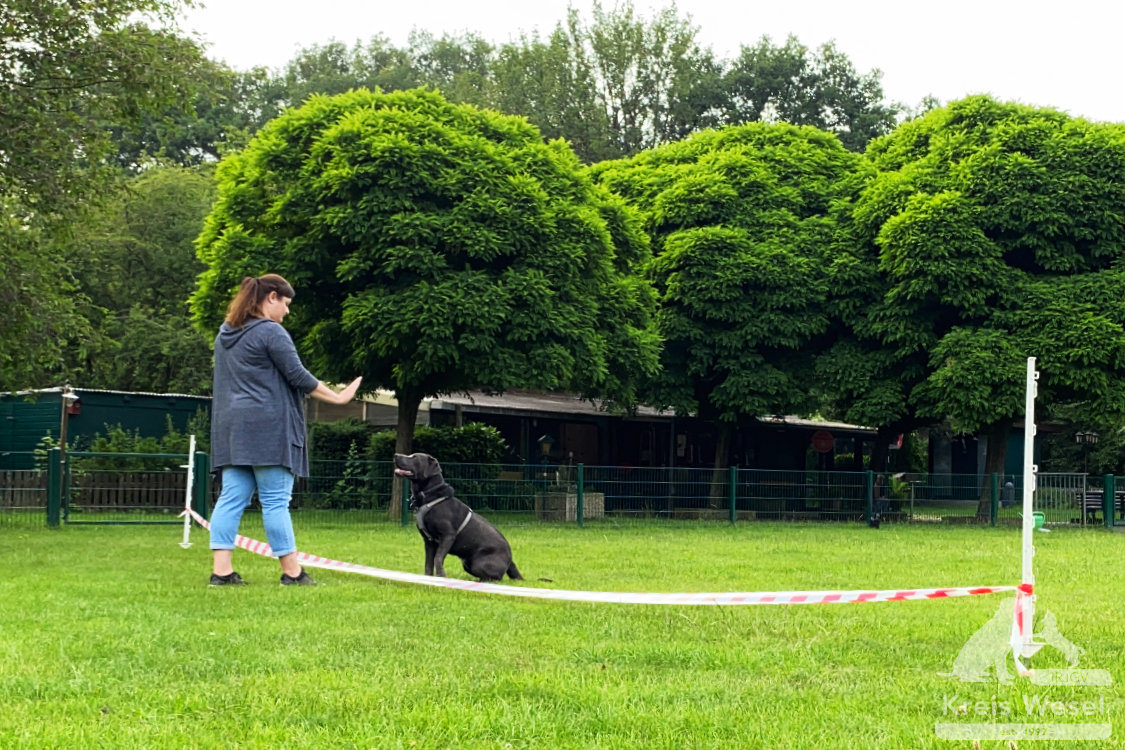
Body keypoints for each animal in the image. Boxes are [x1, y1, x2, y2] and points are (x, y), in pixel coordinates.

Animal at [393, 452, 524, 580]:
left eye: (414, 457)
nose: (395, 455)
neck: (429, 496)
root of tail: (511, 560)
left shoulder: (448, 536)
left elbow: (438, 558)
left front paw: (441, 576)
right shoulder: (429, 541)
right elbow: (428, 564)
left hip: (477, 563)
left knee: (496, 578)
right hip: (467, 563)